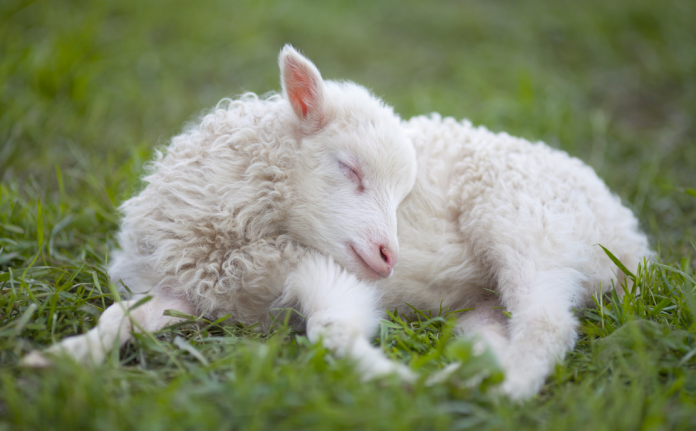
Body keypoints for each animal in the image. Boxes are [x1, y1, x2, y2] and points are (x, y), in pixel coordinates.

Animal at [23, 45, 651, 401]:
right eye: (348, 169)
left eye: (404, 195)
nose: (390, 258)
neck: (240, 243)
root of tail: (629, 238)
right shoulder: (185, 289)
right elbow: (117, 318)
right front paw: (61, 359)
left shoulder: (325, 271)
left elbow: (333, 331)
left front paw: (393, 381)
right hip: (493, 288)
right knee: (502, 328)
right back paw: (472, 374)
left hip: (529, 224)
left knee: (547, 322)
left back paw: (508, 389)